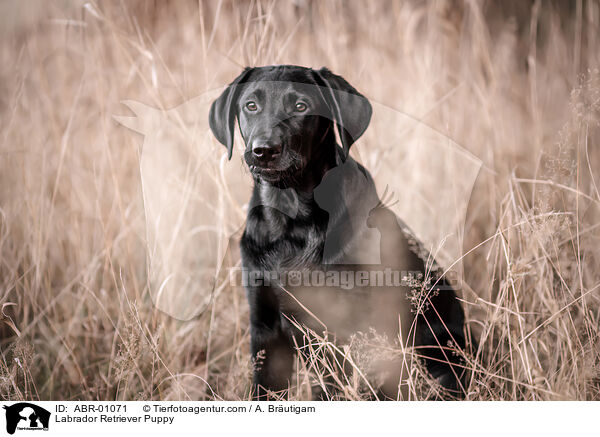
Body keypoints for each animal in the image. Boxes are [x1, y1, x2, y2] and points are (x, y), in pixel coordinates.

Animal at [211, 65, 468, 398]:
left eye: (301, 106)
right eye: (250, 105)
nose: (264, 151)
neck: (292, 221)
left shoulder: (347, 328)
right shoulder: (264, 327)